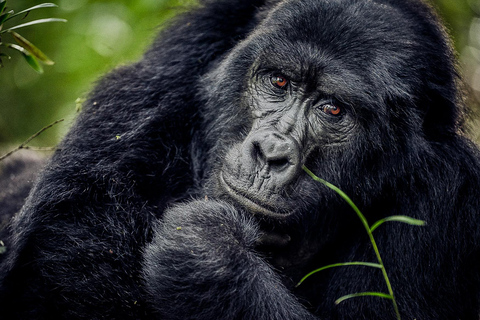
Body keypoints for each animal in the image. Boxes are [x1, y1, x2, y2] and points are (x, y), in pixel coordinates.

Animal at [0, 0, 480, 318]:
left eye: (332, 109)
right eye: (279, 81)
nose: (271, 153)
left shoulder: (444, 201)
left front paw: (211, 252)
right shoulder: (153, 83)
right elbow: (74, 249)